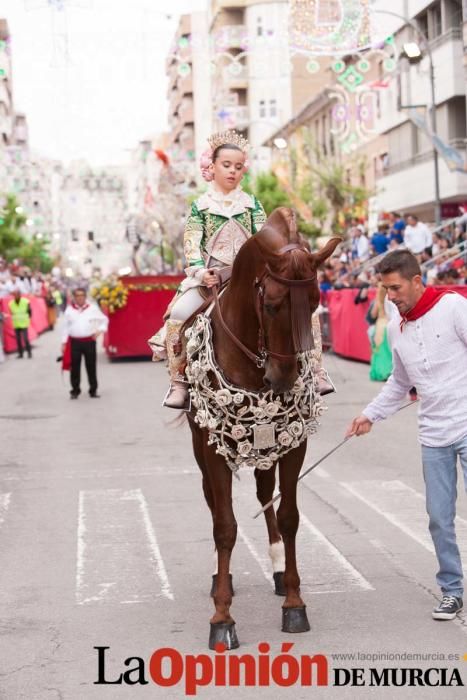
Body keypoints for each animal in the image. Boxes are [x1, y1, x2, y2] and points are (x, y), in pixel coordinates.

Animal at [186, 209, 340, 652]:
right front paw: (222, 617)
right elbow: (225, 526)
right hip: (200, 444)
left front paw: (294, 603)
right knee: (212, 498)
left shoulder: (293, 441)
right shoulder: (213, 447)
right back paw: (220, 577)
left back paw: (275, 568)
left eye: (316, 303)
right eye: (271, 305)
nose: (284, 378)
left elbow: (288, 516)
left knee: (263, 494)